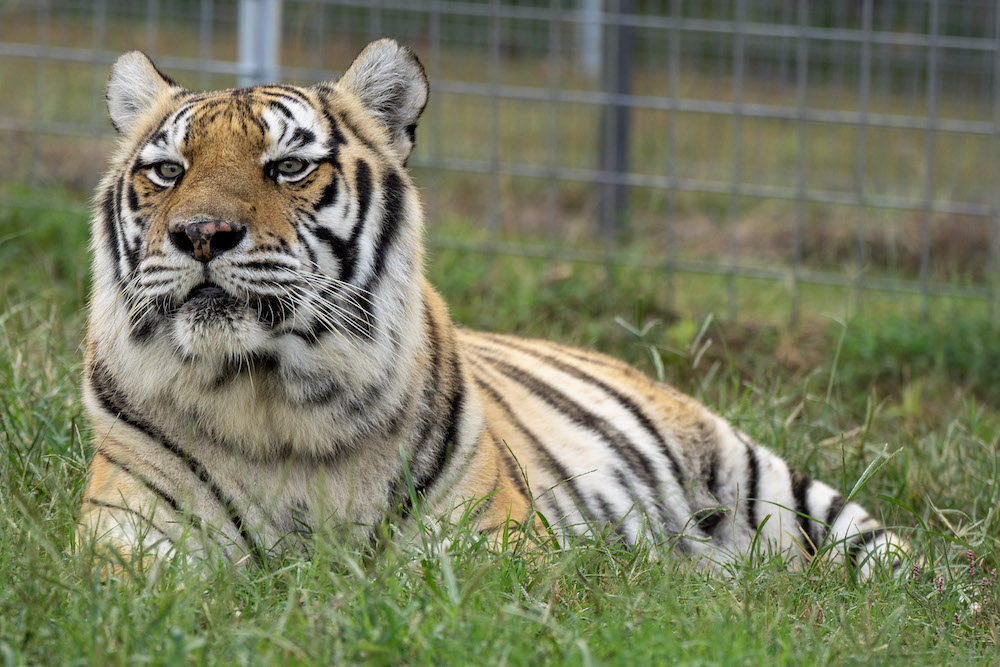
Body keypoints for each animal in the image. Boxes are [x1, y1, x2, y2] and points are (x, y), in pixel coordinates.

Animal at [76, 37, 908, 580]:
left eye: (288, 166)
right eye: (167, 171)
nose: (199, 234)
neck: (266, 397)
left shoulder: (489, 545)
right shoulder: (128, 534)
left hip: (753, 474)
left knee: (884, 553)